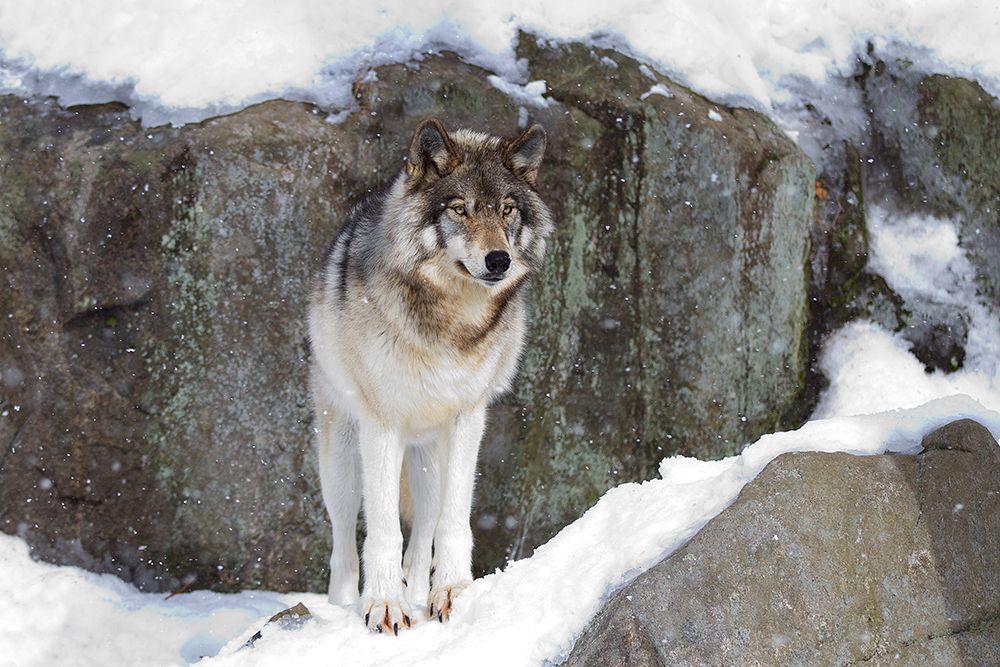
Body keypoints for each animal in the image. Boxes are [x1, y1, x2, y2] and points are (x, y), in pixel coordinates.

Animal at [306, 117, 556, 636]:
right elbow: (381, 529)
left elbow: (453, 521)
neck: (449, 326)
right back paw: (343, 605)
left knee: (423, 534)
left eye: (506, 210)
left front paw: (454, 593)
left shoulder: (468, 419)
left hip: (428, 457)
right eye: (459, 209)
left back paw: (421, 592)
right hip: (341, 459)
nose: (498, 260)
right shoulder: (381, 425)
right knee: (343, 543)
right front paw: (383, 605)